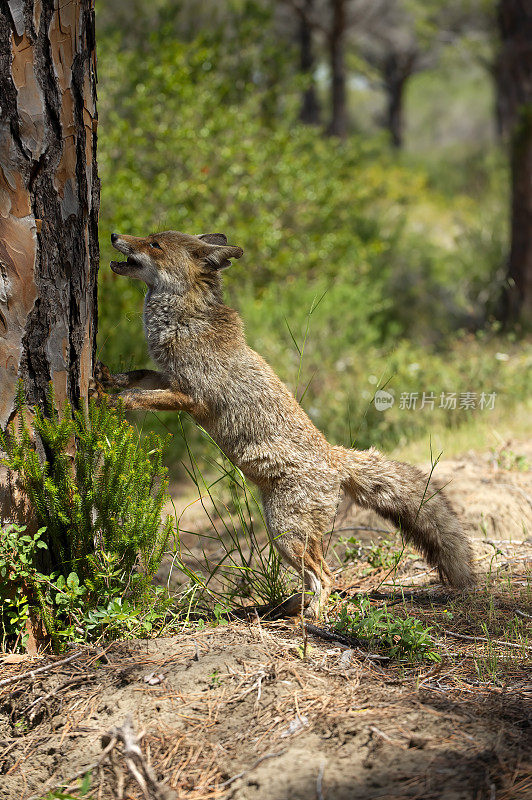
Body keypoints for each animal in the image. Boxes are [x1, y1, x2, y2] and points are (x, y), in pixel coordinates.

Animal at [94, 231, 474, 620]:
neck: (185, 321)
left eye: (154, 244)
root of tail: (334, 457)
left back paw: (312, 617)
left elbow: (139, 397)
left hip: (286, 532)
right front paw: (106, 379)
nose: (114, 235)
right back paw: (288, 607)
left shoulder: (191, 396)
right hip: (284, 533)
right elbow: (137, 376)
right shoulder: (165, 376)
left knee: (327, 576)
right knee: (313, 578)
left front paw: (112, 402)